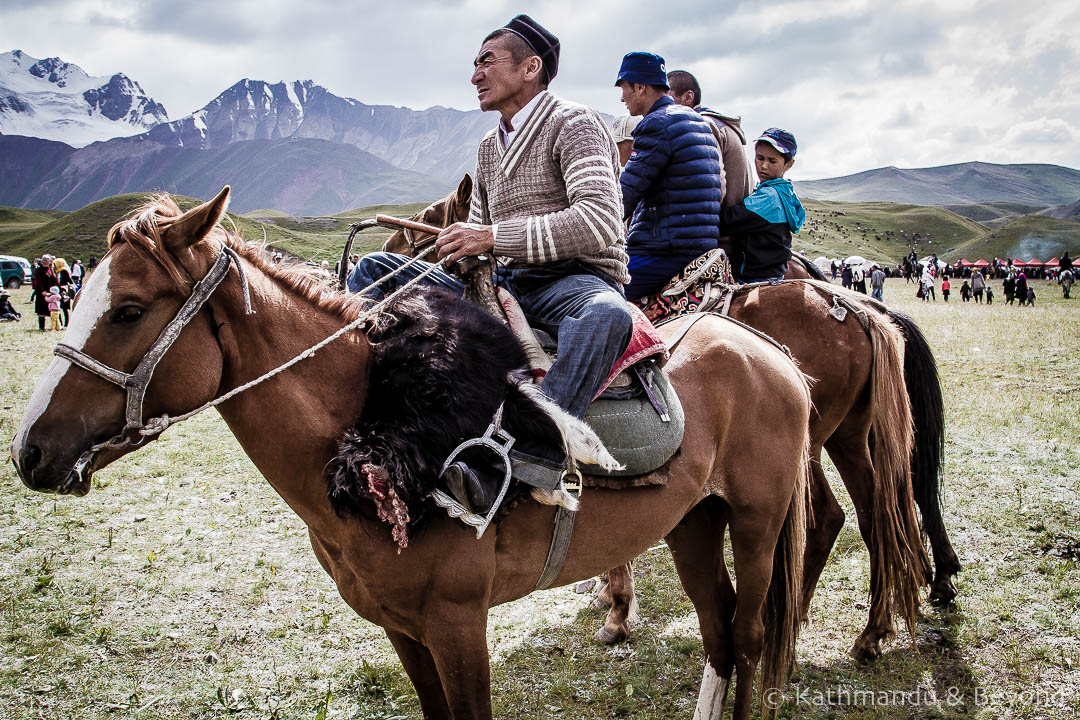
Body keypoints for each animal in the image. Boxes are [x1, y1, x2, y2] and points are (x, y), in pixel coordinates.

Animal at [12, 187, 812, 720]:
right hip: (692, 523)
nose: (30, 452)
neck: (374, 423)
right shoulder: (403, 630)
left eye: (127, 310)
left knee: (747, 635)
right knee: (718, 632)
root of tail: (764, 347)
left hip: (757, 520)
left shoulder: (458, 627)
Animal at [384, 181, 950, 660]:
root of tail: (855, 305)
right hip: (848, 438)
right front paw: (608, 600)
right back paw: (867, 623)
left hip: (809, 447)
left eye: (423, 228)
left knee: (835, 516)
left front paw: (616, 613)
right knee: (877, 512)